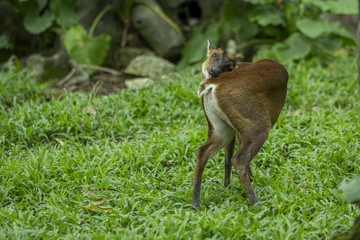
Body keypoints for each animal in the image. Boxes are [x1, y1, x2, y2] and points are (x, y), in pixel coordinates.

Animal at [193, 40, 288, 207]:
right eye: (214, 55)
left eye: (229, 64)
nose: (213, 71)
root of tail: (211, 85)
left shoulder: (234, 129)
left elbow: (227, 156)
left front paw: (227, 186)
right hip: (257, 122)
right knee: (239, 159)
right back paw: (257, 204)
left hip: (221, 127)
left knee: (202, 151)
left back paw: (195, 204)